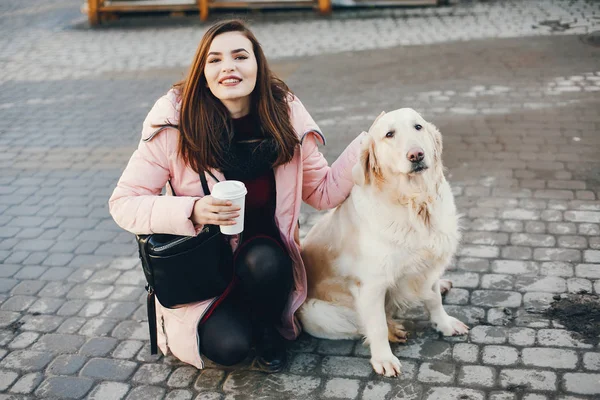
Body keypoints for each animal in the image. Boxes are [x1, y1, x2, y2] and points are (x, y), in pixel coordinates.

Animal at [298, 108, 468, 376]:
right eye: (389, 134)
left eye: (418, 127)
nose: (416, 155)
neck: (414, 203)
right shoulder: (371, 284)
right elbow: (376, 325)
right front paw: (384, 359)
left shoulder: (428, 265)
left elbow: (433, 300)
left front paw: (444, 324)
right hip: (315, 311)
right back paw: (392, 329)